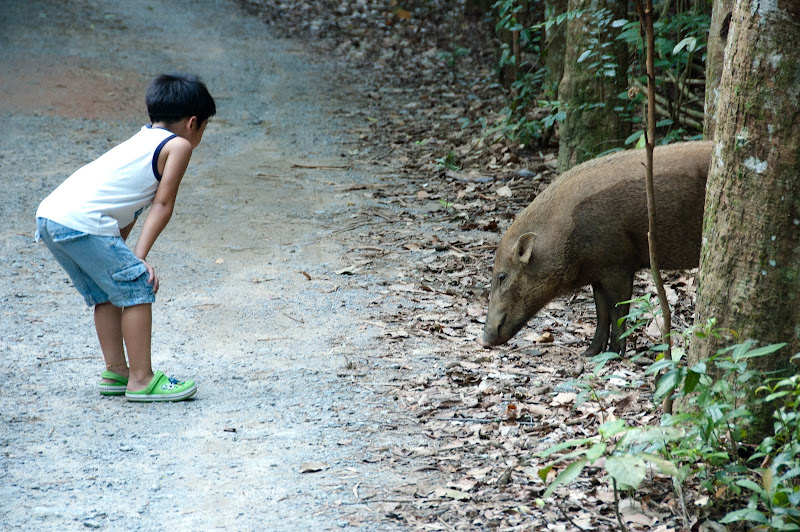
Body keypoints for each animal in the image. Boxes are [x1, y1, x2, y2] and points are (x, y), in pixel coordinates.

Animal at [481, 141, 712, 355]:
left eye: (502, 276)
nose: (484, 340)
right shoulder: (598, 273)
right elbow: (601, 312)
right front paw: (589, 353)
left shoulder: (618, 265)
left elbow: (618, 310)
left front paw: (613, 353)